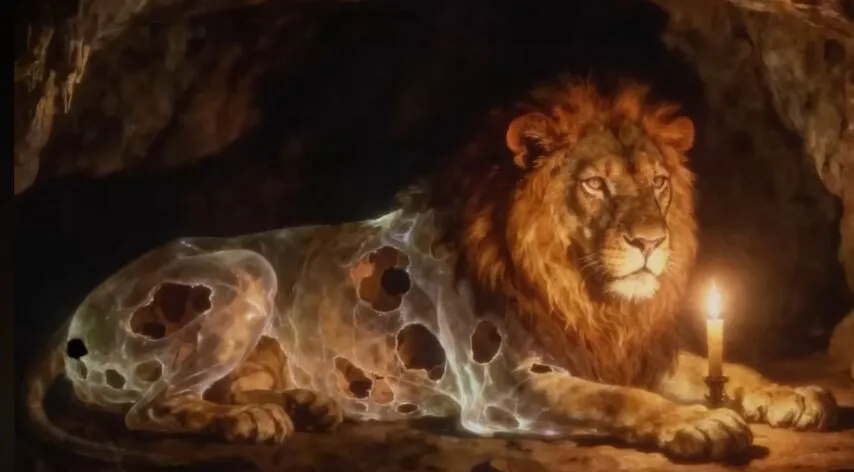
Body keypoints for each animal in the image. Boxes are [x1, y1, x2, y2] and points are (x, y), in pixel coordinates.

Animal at [24, 79, 838, 466]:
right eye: (595, 186)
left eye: (660, 184)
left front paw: (792, 396)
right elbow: (621, 402)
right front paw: (699, 422)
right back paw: (251, 419)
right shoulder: (506, 388)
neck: (585, 293)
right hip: (245, 268)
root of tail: (77, 307)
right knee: (149, 408)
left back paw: (304, 404)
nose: (649, 242)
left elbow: (724, 366)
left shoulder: (625, 346)